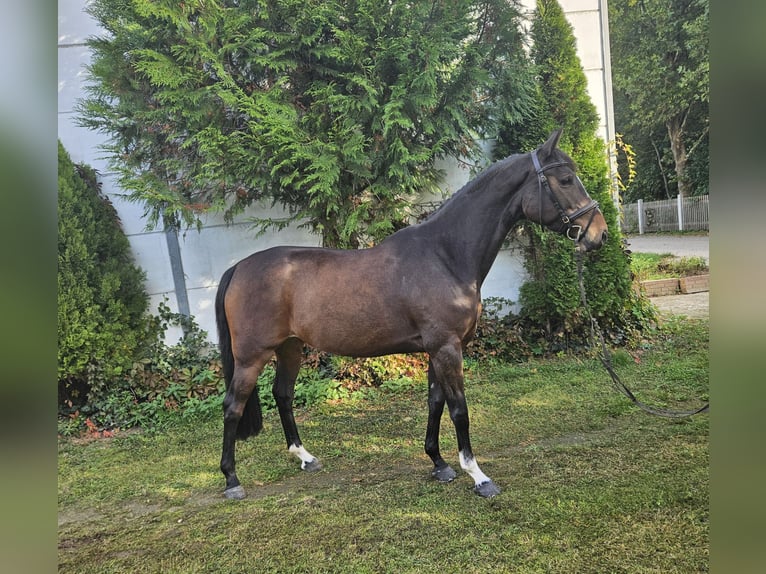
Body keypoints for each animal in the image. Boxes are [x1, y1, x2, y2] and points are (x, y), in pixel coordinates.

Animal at [214, 130, 608, 500]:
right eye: (565, 180)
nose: (599, 234)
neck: (444, 255)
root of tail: (238, 268)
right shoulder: (447, 348)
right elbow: (459, 409)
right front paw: (478, 476)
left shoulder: (436, 349)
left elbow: (435, 403)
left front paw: (439, 463)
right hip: (251, 356)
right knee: (233, 406)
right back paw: (232, 480)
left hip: (290, 348)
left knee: (282, 394)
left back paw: (305, 457)